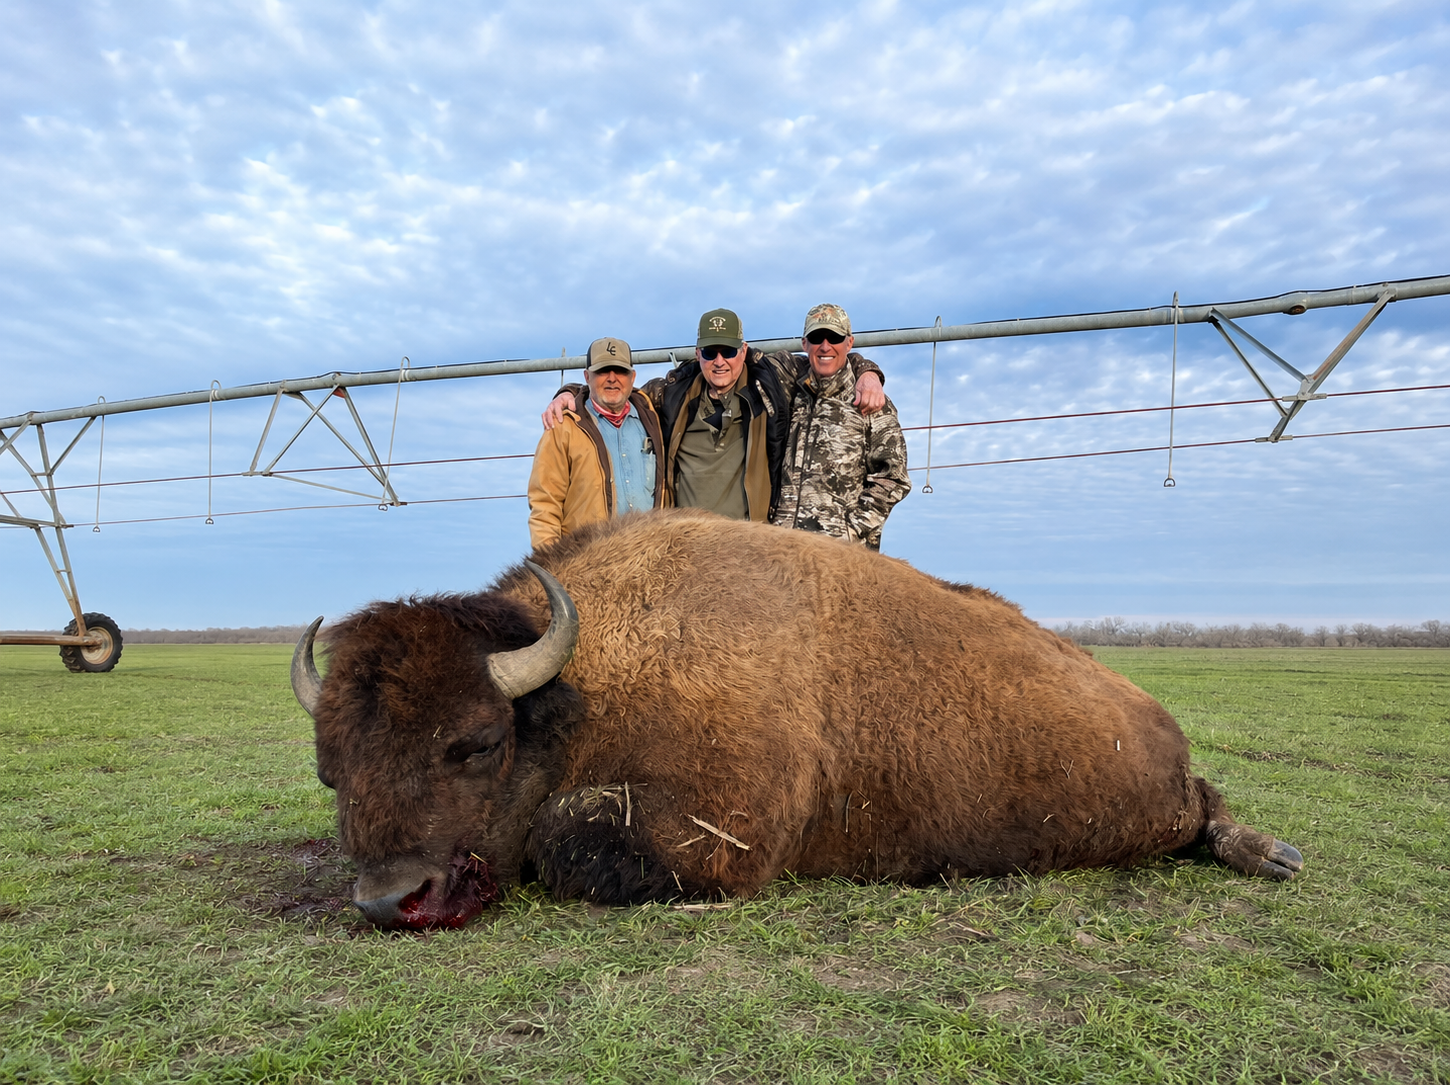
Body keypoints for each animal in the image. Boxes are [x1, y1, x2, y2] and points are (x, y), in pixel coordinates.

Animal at [292, 509, 1302, 929]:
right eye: (330, 771)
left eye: (477, 742)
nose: (389, 898)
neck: (588, 676)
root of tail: (1154, 720)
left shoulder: (721, 832)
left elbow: (562, 836)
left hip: (1156, 798)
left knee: (1207, 804)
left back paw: (1270, 854)